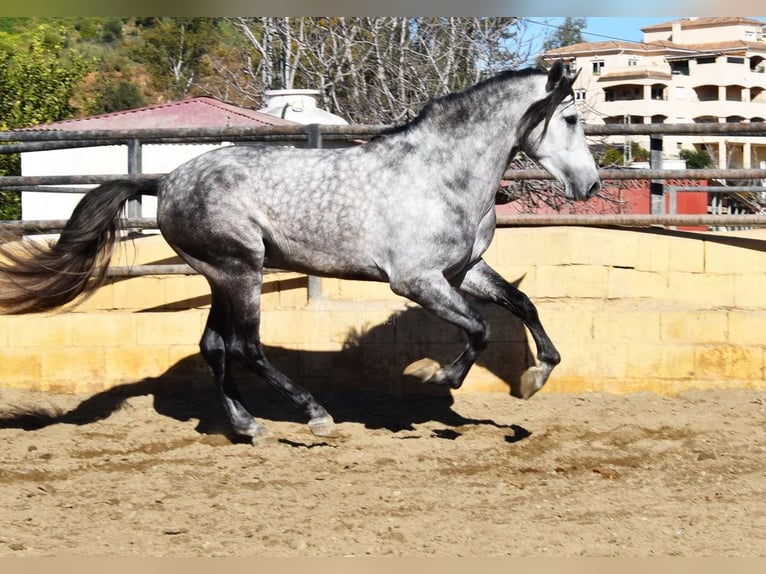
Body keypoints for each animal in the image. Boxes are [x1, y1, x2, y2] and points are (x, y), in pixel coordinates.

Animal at [0, 63, 600, 440]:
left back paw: (248, 426)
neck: (440, 175)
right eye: (570, 119)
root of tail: (166, 181)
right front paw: (437, 377)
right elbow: (478, 328)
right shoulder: (417, 280)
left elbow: (521, 305)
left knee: (214, 345)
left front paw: (536, 377)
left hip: (221, 276)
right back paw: (316, 416)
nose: (590, 185)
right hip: (241, 270)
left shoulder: (463, 270)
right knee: (246, 346)